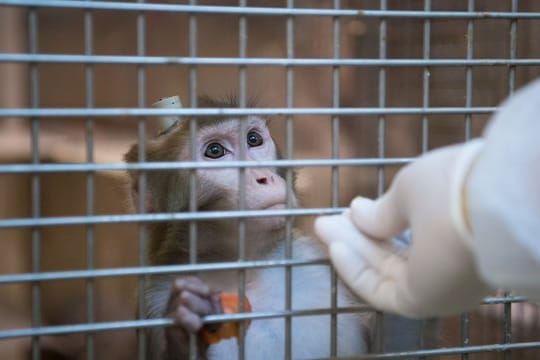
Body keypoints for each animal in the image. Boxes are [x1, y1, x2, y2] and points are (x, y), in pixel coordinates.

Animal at [124, 96, 432, 360]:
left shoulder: (312, 260)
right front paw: (186, 324)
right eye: (215, 151)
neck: (248, 269)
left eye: (253, 139)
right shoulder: (154, 299)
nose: (264, 178)